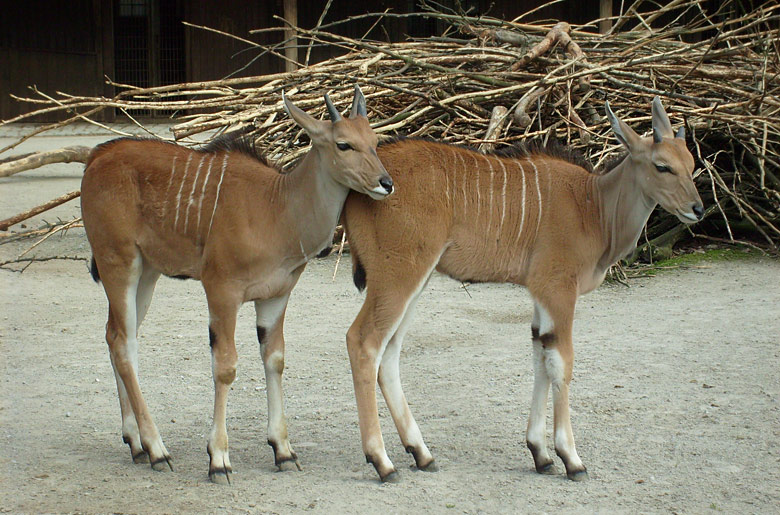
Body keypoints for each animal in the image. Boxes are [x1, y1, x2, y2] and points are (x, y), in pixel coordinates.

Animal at [82, 86, 394, 486]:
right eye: (344, 144)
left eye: (374, 142)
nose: (386, 183)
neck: (277, 208)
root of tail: (96, 158)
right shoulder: (221, 290)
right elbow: (226, 366)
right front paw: (218, 458)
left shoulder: (275, 297)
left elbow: (274, 360)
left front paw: (283, 451)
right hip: (119, 263)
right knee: (123, 343)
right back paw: (156, 449)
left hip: (146, 273)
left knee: (117, 336)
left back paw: (136, 443)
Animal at [340, 97, 700, 484]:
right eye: (662, 166)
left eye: (691, 164)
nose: (697, 208)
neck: (594, 206)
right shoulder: (558, 288)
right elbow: (562, 362)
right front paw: (571, 458)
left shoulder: (541, 295)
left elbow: (541, 354)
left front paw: (540, 453)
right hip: (398, 275)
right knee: (364, 342)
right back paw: (382, 461)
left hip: (414, 281)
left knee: (389, 353)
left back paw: (421, 453)